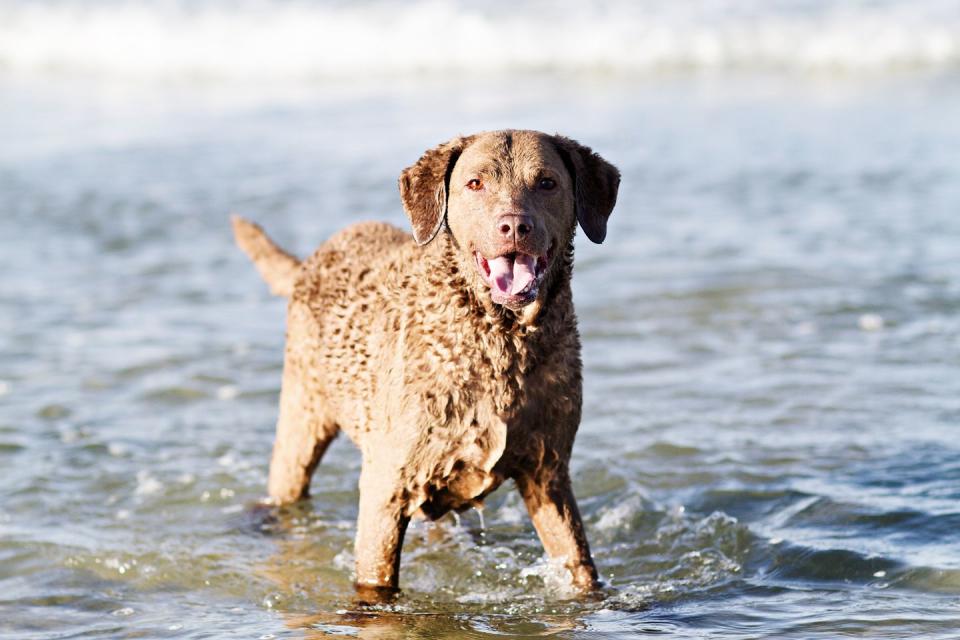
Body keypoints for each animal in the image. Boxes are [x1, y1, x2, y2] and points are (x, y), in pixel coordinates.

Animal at [233, 130, 624, 596]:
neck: (501, 344)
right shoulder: (385, 485)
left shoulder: (549, 474)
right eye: (475, 183)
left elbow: (579, 565)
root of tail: (308, 262)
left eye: (547, 182)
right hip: (302, 415)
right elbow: (376, 581)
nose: (514, 225)